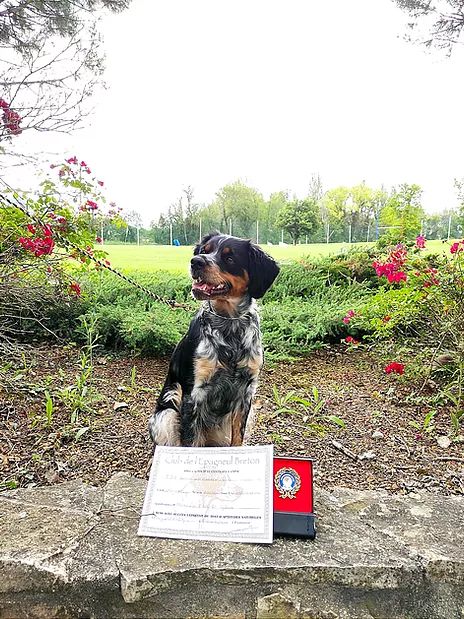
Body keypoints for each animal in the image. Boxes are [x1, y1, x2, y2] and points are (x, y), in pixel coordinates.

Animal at [148, 231, 280, 448]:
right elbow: (190, 442)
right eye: (204, 250)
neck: (230, 325)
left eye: (230, 258)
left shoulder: (246, 393)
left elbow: (237, 439)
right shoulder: (193, 395)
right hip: (166, 413)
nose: (195, 262)